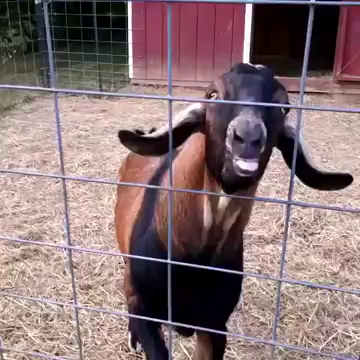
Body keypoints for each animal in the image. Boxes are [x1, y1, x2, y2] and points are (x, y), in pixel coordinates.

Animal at [114, 63, 352, 358]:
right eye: (213, 94)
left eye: (283, 107)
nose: (248, 137)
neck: (194, 259)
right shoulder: (145, 309)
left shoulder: (215, 325)